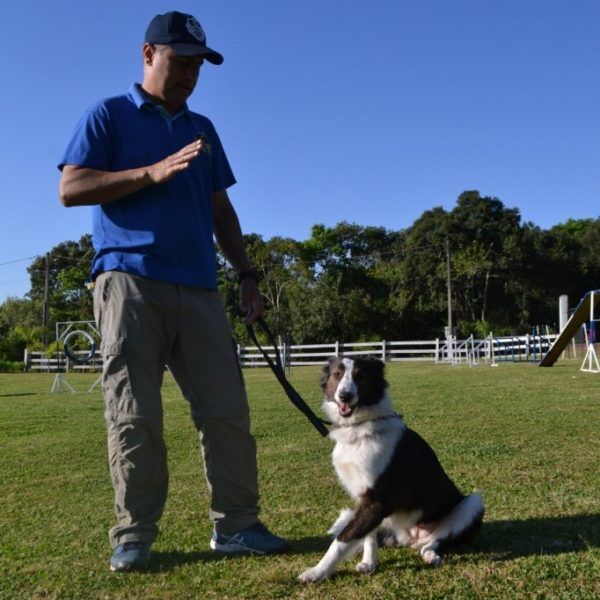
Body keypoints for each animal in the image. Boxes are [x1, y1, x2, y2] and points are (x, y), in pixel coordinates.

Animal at [298, 358, 486, 584]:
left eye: (360, 376)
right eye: (337, 374)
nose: (345, 396)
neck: (360, 428)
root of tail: (412, 537)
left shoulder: (377, 501)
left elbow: (342, 539)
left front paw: (317, 572)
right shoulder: (366, 500)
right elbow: (368, 535)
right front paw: (370, 563)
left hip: (473, 503)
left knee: (435, 541)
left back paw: (431, 555)